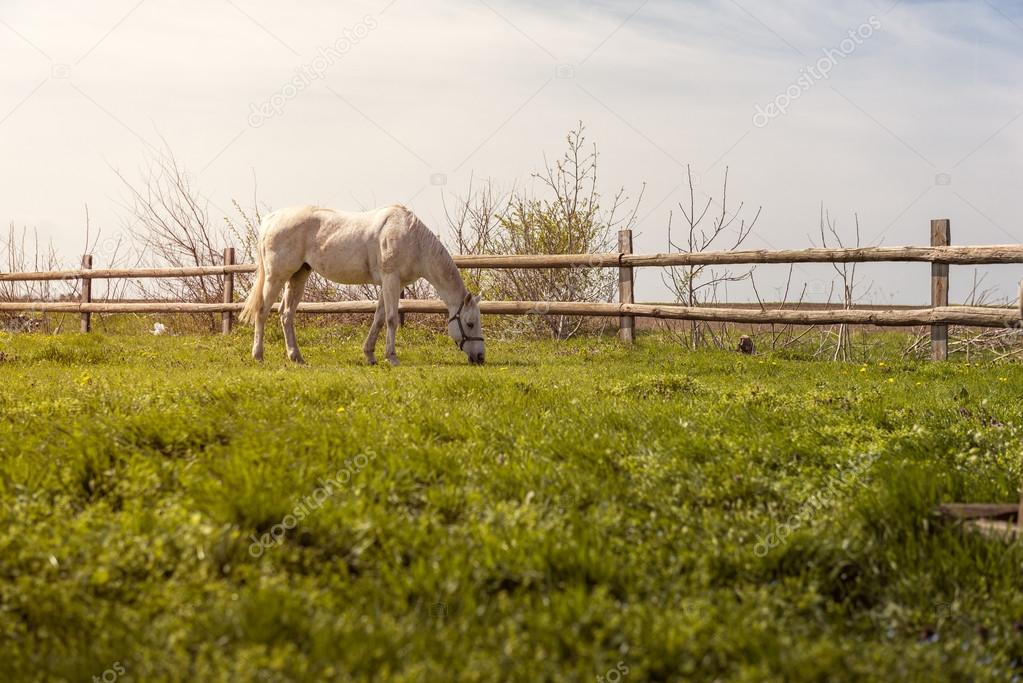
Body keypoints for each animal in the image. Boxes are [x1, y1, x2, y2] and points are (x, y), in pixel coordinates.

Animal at [237, 205, 484, 366]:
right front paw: (392, 357)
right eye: (470, 323)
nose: (481, 358)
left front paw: (370, 355)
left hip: (299, 275)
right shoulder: (391, 280)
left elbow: (379, 318)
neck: (414, 241)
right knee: (263, 311)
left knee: (286, 314)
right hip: (276, 276)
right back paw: (258, 355)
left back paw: (296, 357)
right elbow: (392, 320)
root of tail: (272, 218)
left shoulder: (391, 284)